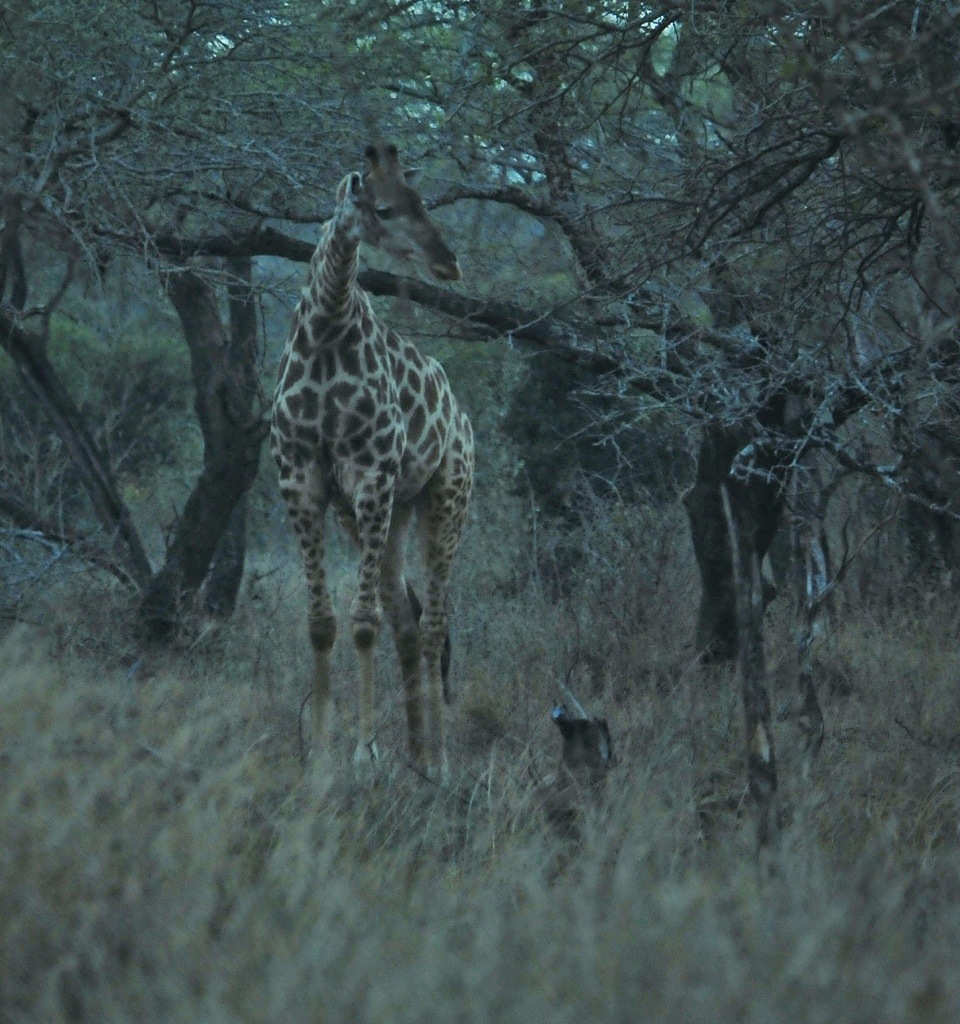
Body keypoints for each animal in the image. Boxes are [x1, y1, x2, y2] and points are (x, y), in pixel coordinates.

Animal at [270, 143, 474, 776]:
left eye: (422, 200)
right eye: (384, 208)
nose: (449, 262)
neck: (325, 333)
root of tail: (462, 415)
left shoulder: (371, 478)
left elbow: (363, 624)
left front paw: (363, 751)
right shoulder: (304, 486)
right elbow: (321, 623)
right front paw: (323, 752)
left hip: (447, 497)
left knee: (433, 625)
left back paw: (439, 761)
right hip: (393, 512)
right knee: (408, 621)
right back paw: (416, 756)